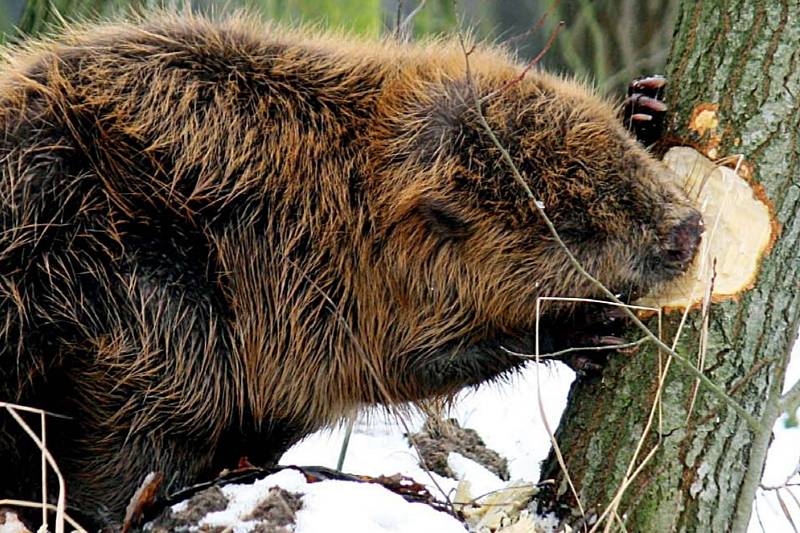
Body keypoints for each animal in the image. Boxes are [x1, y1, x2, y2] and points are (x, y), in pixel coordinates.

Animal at [0, 11, 700, 528]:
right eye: (571, 227)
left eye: (621, 153)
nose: (689, 231)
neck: (357, 188)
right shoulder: (334, 292)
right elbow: (410, 365)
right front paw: (584, 331)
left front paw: (642, 105)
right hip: (146, 299)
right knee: (144, 426)